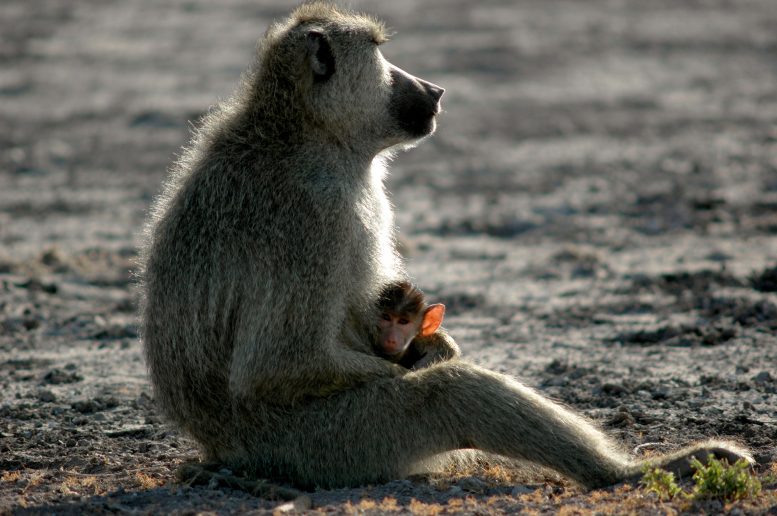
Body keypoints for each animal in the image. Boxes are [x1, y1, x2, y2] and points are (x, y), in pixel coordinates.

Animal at [139, 2, 750, 491]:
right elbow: (280, 364)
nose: (434, 89)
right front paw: (415, 364)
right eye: (381, 55)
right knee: (452, 395)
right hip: (316, 446)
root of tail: (221, 448)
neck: (307, 133)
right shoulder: (314, 219)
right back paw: (633, 473)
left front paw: (436, 341)